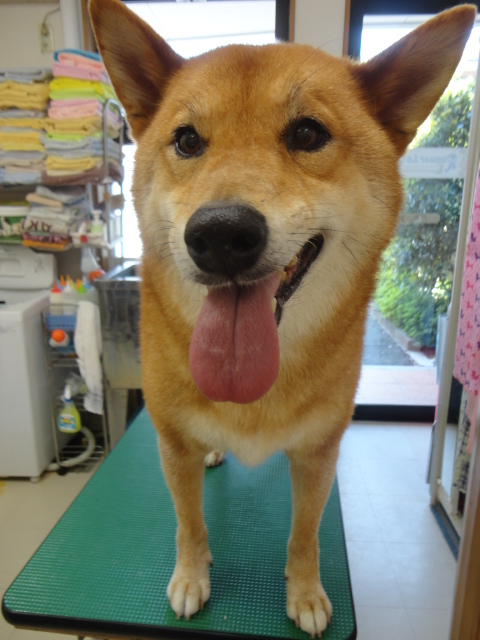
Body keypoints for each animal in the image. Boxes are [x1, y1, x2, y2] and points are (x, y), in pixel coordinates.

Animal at [89, 1, 475, 636]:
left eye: (308, 133)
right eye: (187, 140)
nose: (220, 235)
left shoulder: (316, 455)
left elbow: (305, 534)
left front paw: (306, 593)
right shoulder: (173, 445)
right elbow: (189, 523)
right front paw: (191, 577)